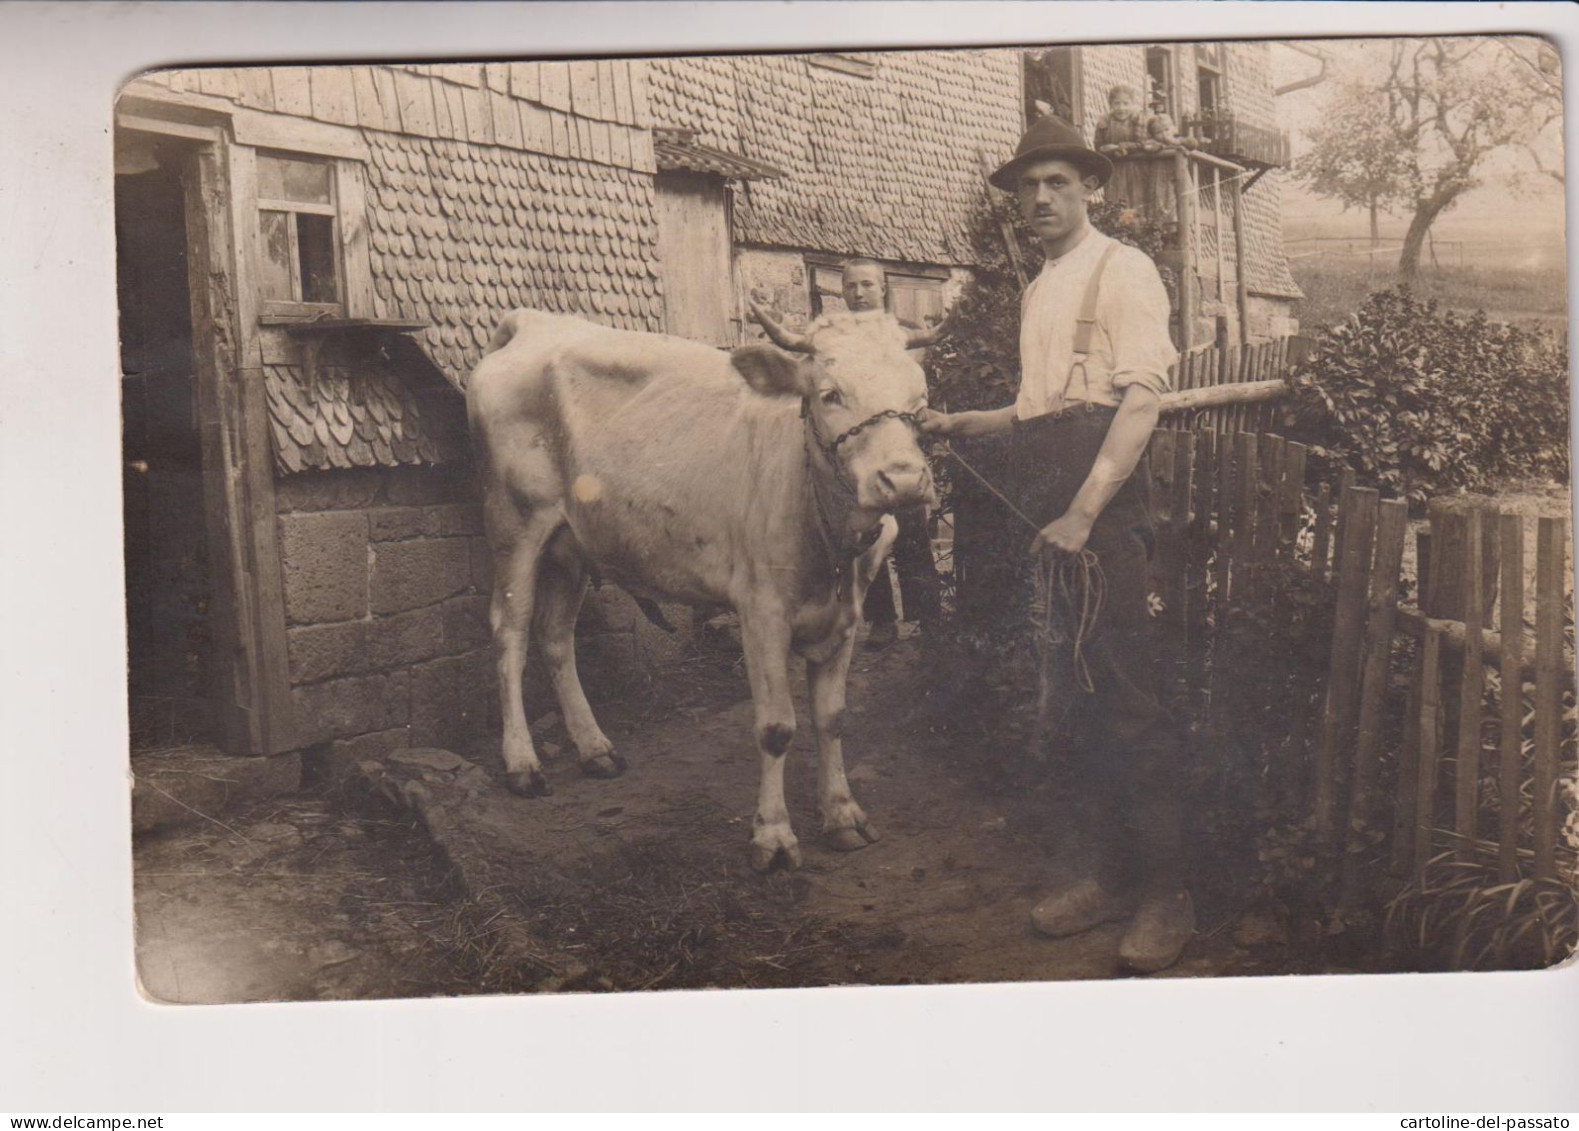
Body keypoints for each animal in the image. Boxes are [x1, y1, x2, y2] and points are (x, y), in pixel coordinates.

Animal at [467, 304, 934, 871]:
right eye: (830, 393)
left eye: (920, 398)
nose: (904, 481)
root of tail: (533, 322)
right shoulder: (760, 611)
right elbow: (777, 728)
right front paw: (773, 837)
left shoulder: (847, 616)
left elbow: (832, 718)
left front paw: (842, 815)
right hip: (514, 521)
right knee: (509, 633)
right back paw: (522, 763)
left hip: (571, 542)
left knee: (555, 636)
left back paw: (596, 749)